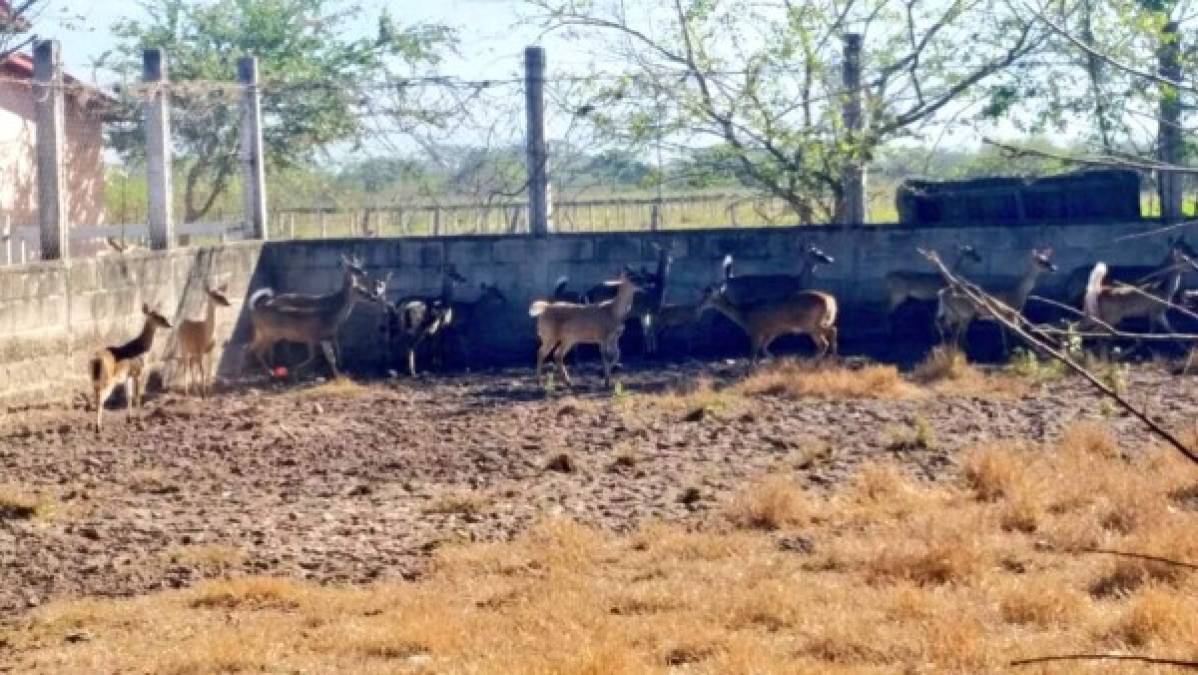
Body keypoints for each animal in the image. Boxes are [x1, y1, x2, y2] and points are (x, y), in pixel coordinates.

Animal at [89, 303, 173, 431]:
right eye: (155, 315)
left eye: (162, 313)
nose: (169, 324)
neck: (142, 349)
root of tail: (96, 360)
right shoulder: (138, 372)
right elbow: (137, 396)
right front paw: (140, 422)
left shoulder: (128, 375)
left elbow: (128, 395)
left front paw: (128, 419)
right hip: (107, 379)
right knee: (100, 398)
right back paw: (98, 427)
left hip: (94, 379)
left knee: (96, 397)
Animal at [699, 282, 838, 364]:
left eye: (707, 296)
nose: (698, 306)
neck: (744, 315)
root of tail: (830, 301)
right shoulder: (772, 331)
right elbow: (764, 348)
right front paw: (776, 360)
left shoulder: (756, 331)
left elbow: (753, 353)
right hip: (817, 323)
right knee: (825, 340)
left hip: (809, 323)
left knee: (830, 333)